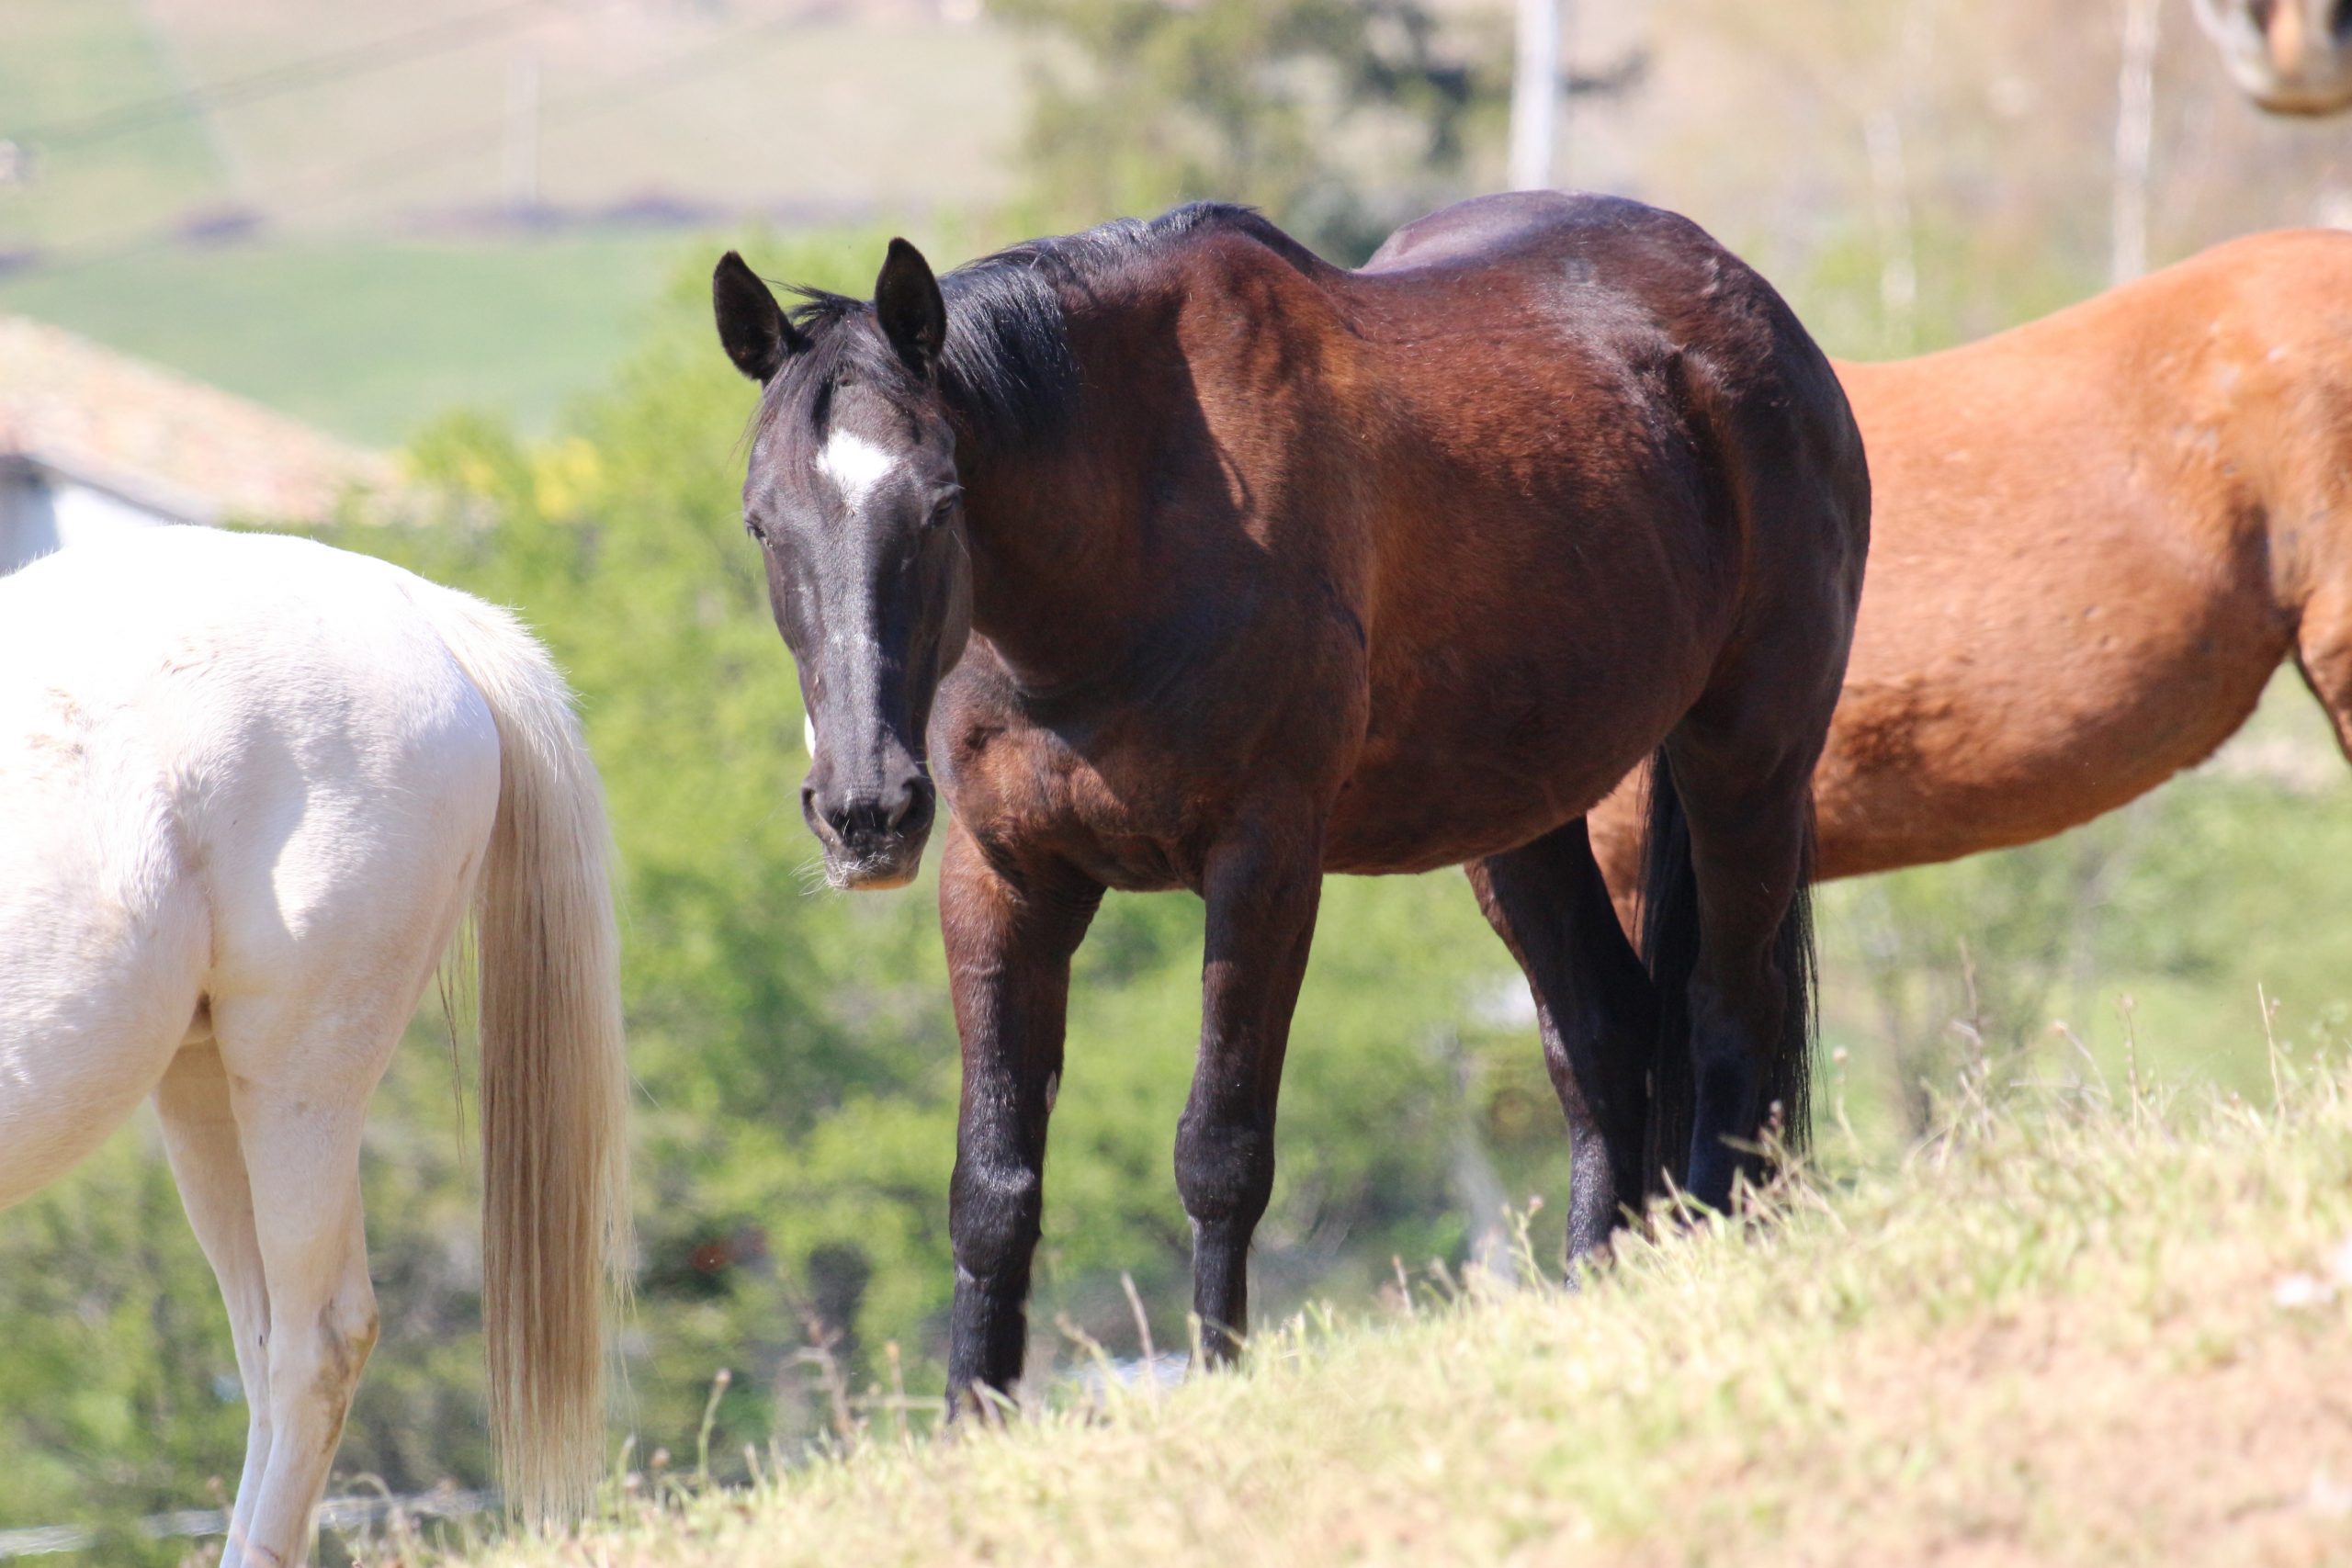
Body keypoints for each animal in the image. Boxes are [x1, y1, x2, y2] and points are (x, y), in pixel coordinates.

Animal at [706, 190, 1862, 1401]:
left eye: (938, 504)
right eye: (761, 521)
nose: (865, 811)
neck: (1131, 533)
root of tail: (1751, 312)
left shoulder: (1261, 866)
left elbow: (1220, 1152)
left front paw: (1218, 1378)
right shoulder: (1002, 878)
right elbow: (991, 1185)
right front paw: (972, 1419)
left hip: (1747, 758)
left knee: (1726, 1008)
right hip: (1519, 821)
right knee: (1602, 1032)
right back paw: (1593, 1284)